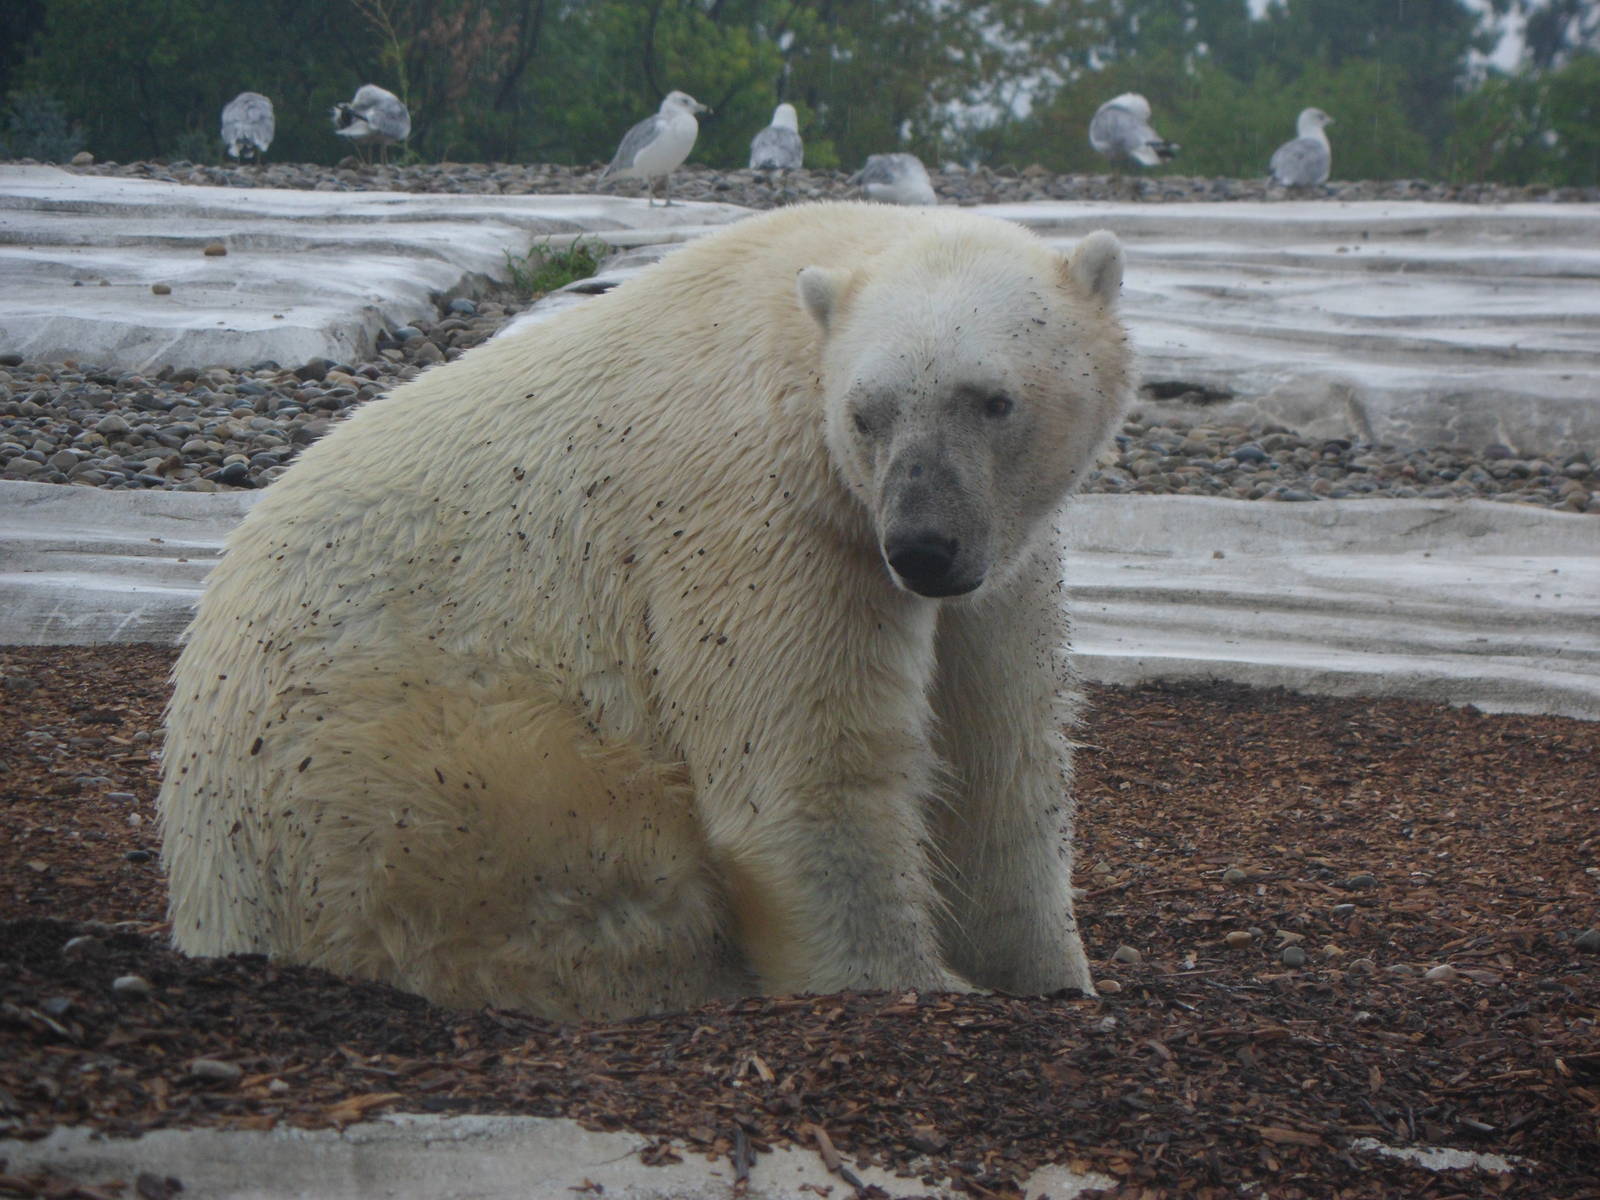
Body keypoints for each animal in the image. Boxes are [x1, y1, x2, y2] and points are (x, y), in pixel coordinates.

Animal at [158, 201, 1134, 1021]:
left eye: (994, 400)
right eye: (868, 413)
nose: (923, 546)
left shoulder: (996, 561)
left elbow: (1000, 764)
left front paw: (1053, 977)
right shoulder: (763, 514)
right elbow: (807, 771)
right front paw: (910, 986)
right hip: (388, 753)